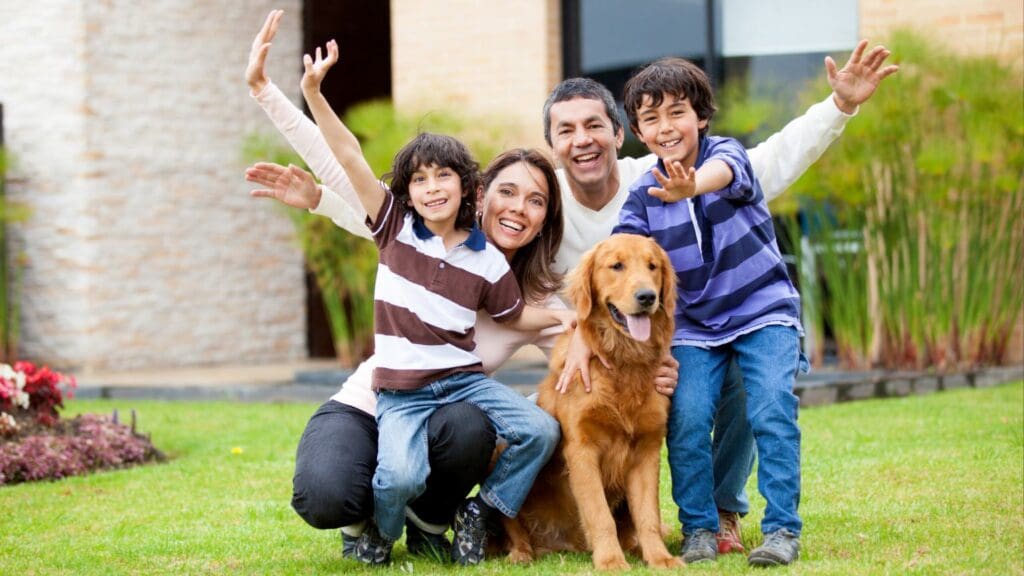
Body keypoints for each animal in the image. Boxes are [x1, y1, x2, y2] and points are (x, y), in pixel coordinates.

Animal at [501, 234, 684, 569]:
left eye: (652, 266)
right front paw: (611, 561)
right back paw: (522, 552)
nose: (647, 296)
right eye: (617, 266)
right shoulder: (582, 449)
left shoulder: (647, 450)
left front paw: (660, 558)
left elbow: (648, 516)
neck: (623, 362)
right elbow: (600, 515)